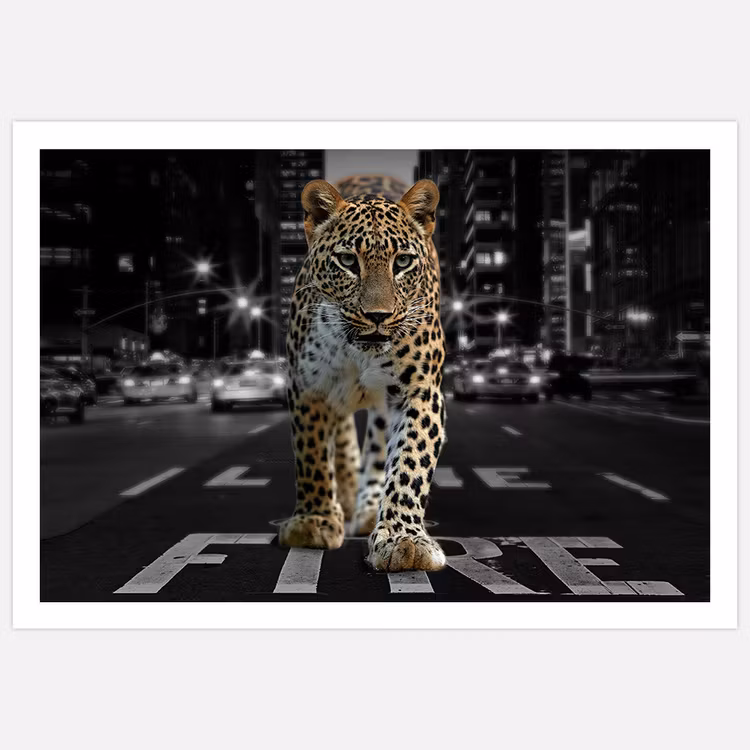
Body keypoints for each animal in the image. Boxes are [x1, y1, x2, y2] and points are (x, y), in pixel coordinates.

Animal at [278, 175, 447, 573]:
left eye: (403, 261)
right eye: (346, 261)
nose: (378, 316)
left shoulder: (420, 389)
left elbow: (410, 460)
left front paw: (403, 539)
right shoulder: (307, 388)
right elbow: (310, 454)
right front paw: (314, 521)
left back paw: (370, 508)